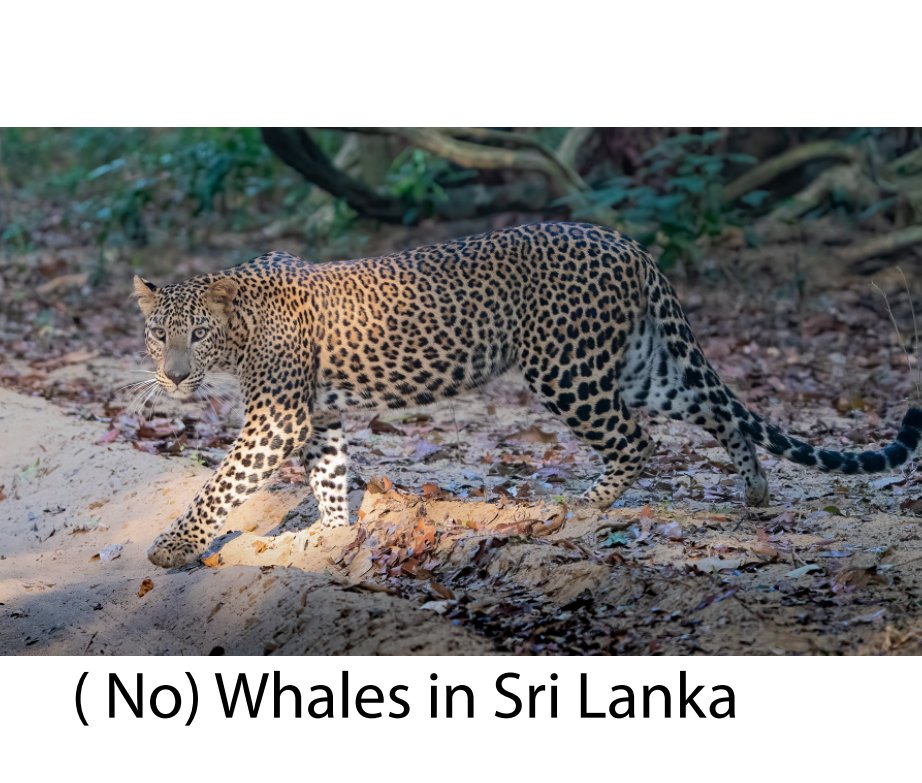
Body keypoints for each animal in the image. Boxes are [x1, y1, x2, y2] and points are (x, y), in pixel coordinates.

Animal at [135, 222, 920, 568]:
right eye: (156, 334)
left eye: (196, 334)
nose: (172, 375)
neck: (240, 328)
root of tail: (627, 243)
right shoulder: (319, 412)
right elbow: (328, 474)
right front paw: (328, 532)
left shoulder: (277, 417)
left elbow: (223, 482)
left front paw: (172, 546)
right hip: (640, 363)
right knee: (718, 411)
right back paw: (754, 490)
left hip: (566, 367)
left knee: (636, 438)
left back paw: (580, 506)